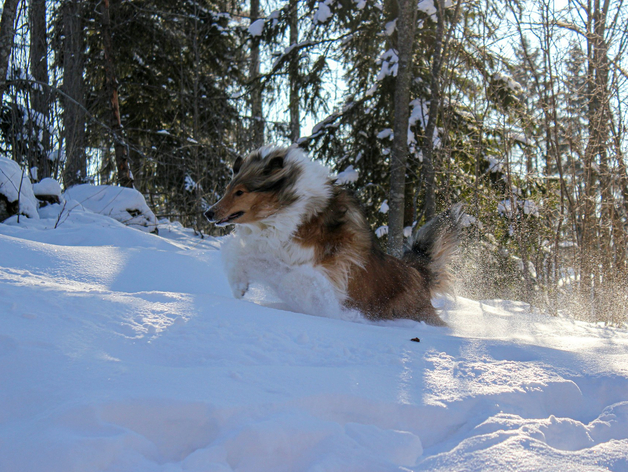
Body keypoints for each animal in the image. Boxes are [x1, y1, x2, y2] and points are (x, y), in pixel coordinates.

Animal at [205, 147, 462, 324]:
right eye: (228, 189)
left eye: (240, 192)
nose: (208, 213)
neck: (294, 210)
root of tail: (416, 272)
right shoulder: (273, 251)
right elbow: (239, 253)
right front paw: (239, 286)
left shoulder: (330, 269)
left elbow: (295, 280)